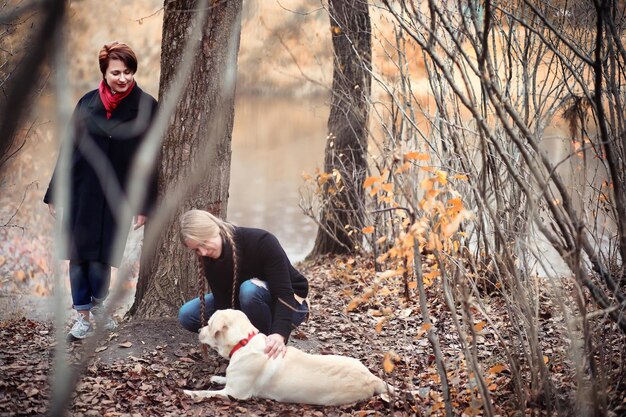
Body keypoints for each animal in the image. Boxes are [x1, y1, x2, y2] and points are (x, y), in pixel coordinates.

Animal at [182, 308, 390, 404]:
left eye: (209, 324)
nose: (199, 330)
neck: (244, 342)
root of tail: (372, 378)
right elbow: (224, 378)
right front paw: (217, 377)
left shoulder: (235, 393)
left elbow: (207, 393)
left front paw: (189, 392)